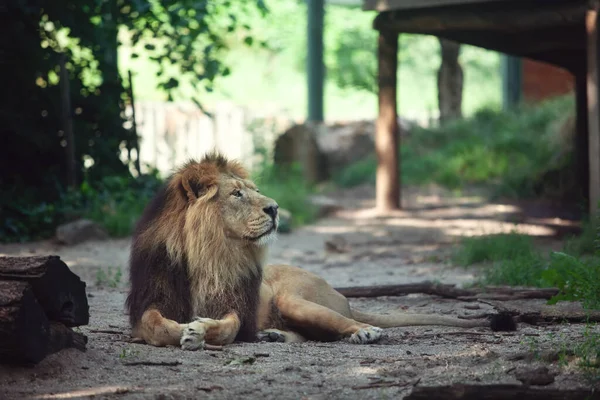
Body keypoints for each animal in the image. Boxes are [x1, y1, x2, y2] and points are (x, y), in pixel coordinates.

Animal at [124, 153, 512, 350]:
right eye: (236, 193)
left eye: (255, 190)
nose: (275, 208)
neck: (212, 252)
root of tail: (343, 296)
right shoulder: (151, 300)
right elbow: (155, 325)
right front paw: (182, 330)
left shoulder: (238, 306)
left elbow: (228, 328)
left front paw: (199, 332)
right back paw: (275, 334)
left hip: (296, 300)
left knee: (346, 323)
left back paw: (364, 332)